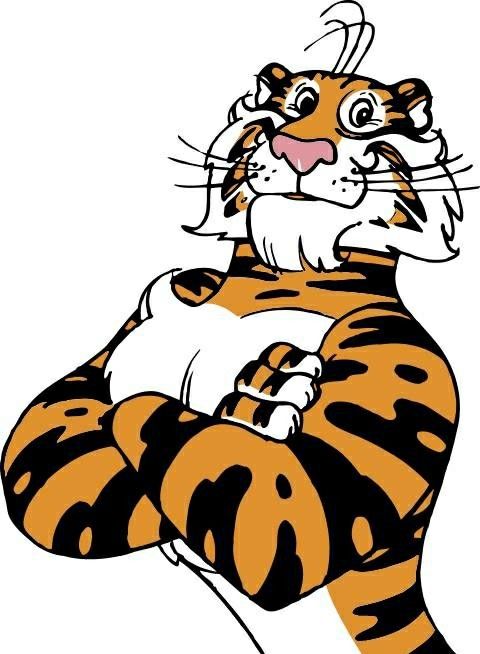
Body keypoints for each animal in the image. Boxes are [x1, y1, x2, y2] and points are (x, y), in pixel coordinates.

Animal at [1, 2, 470, 653]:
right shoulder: (70, 417)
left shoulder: (405, 368)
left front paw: (259, 388)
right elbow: (66, 431)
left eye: (361, 117)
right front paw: (250, 382)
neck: (287, 270)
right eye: (298, 103)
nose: (301, 151)